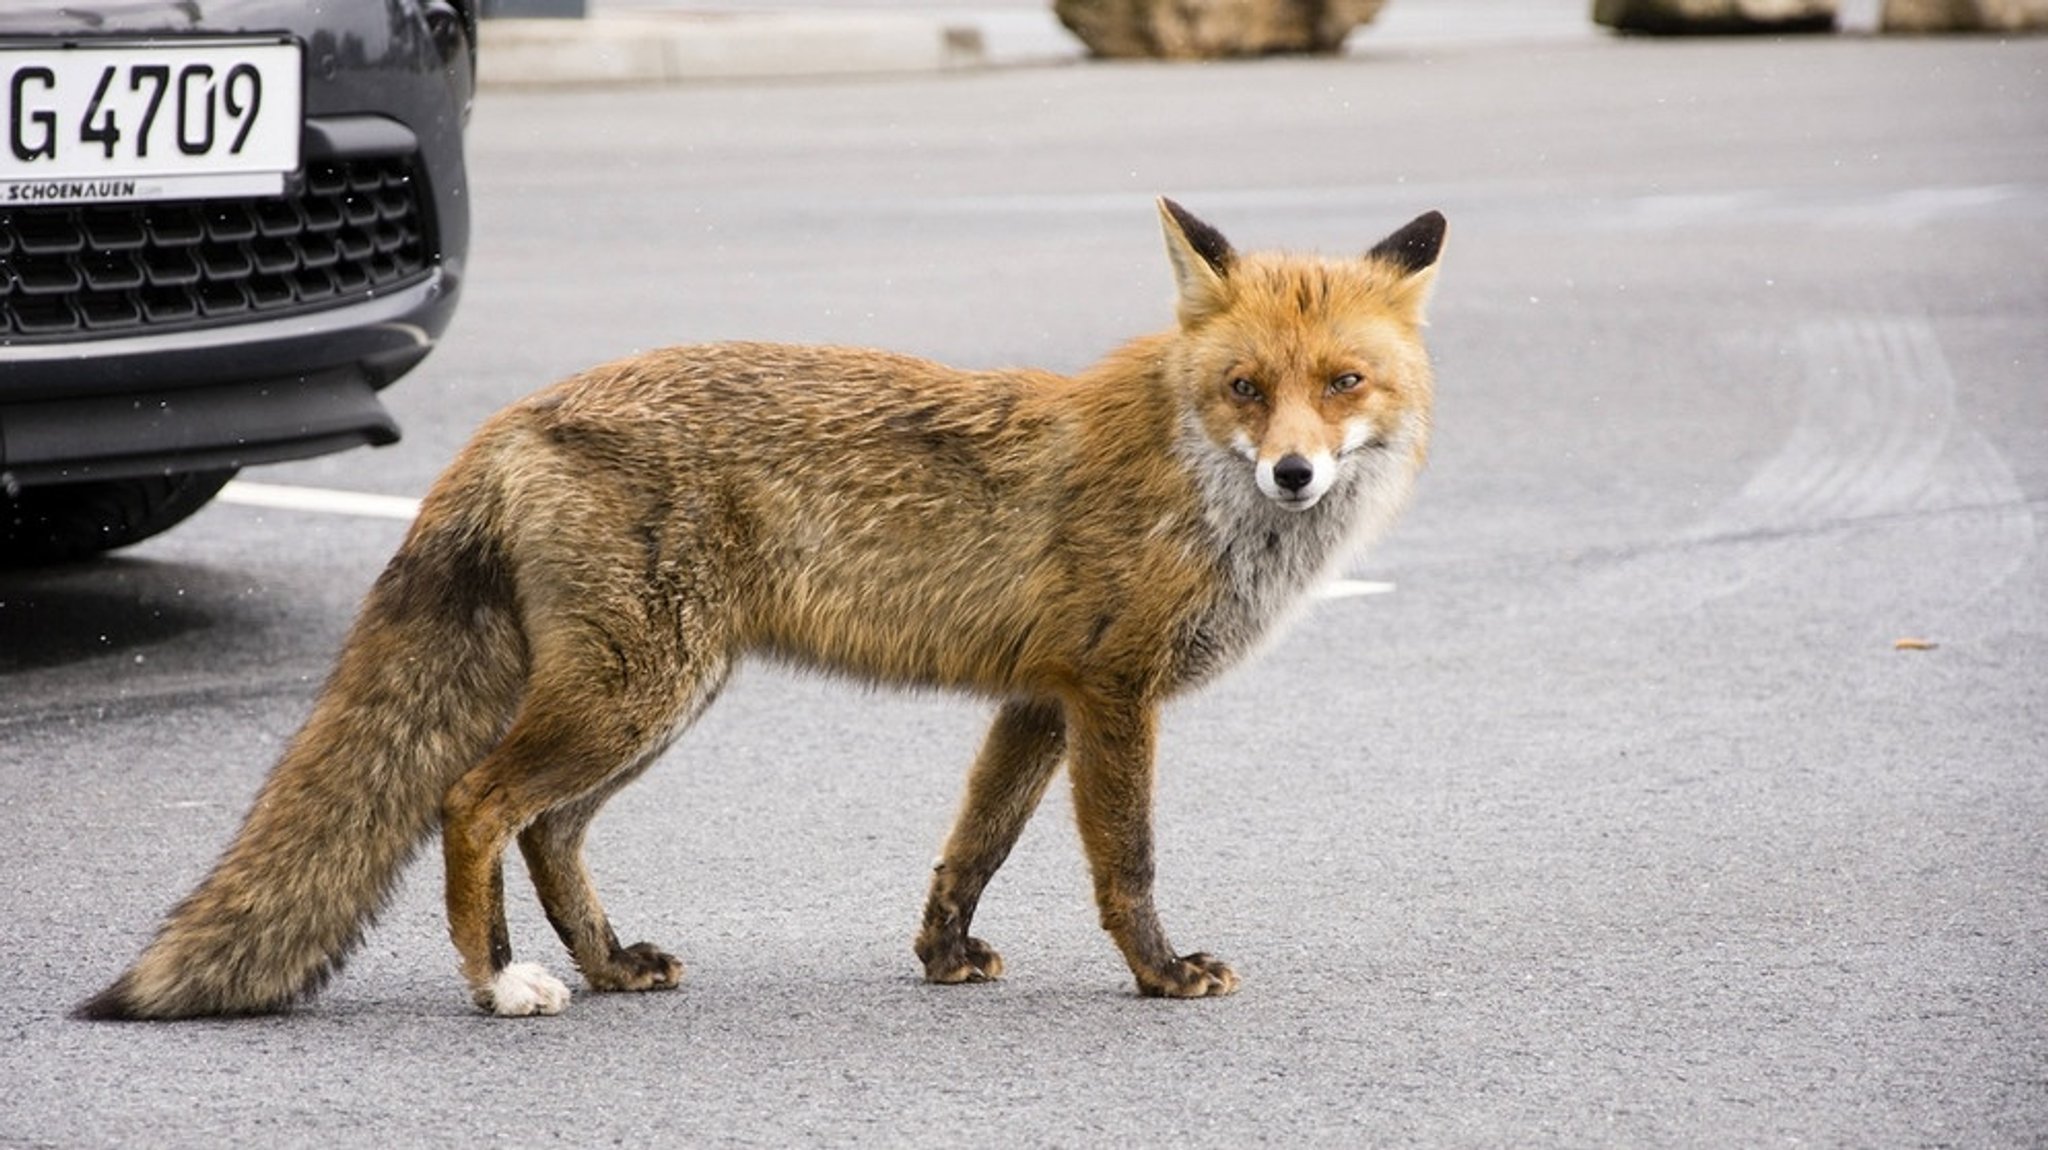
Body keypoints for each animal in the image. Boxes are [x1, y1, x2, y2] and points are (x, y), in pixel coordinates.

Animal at [79, 201, 1449, 1014]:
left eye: (1342, 382)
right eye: (1244, 387)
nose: (1293, 472)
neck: (1194, 480)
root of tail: (519, 413)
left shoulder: (1038, 694)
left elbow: (974, 845)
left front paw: (941, 958)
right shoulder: (1112, 691)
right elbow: (1127, 861)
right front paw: (1160, 973)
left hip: (658, 696)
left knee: (548, 829)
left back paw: (606, 961)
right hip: (638, 691)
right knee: (470, 802)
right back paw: (501, 981)